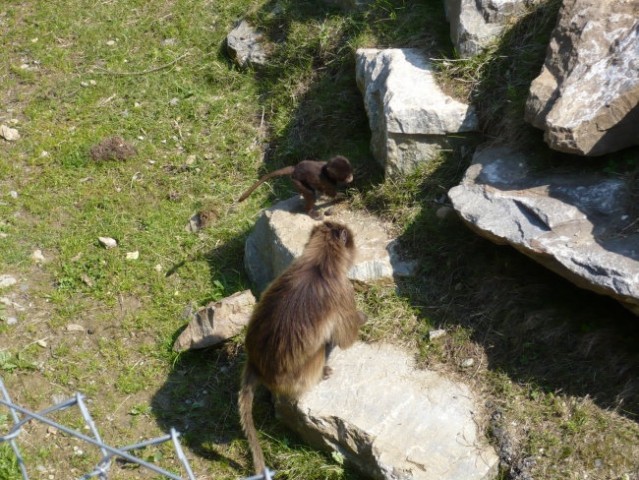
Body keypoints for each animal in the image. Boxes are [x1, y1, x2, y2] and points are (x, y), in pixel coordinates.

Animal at [238, 222, 368, 476]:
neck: (320, 263)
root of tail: (256, 365)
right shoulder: (343, 291)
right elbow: (346, 337)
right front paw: (362, 318)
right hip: (298, 375)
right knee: (319, 350)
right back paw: (322, 372)